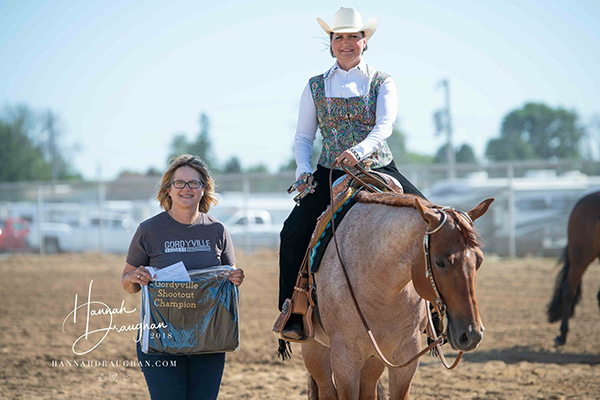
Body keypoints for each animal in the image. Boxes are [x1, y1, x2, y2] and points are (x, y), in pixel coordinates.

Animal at [302, 192, 494, 398]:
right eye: (440, 262)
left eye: (479, 260)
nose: (472, 334)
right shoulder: (345, 360)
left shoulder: (406, 356)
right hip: (316, 351)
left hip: (373, 360)